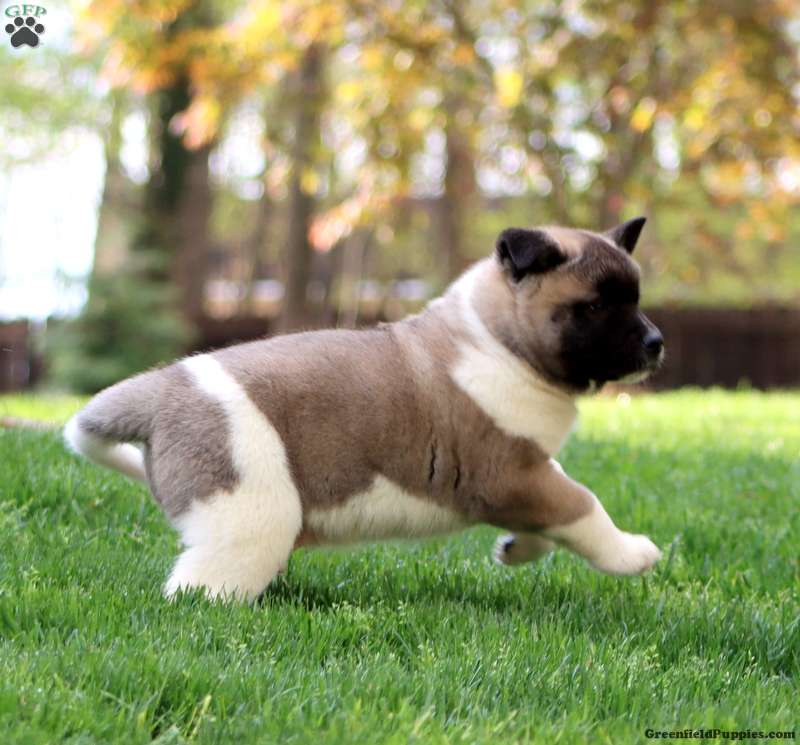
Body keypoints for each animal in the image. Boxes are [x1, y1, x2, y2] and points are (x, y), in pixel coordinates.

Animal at [65, 216, 664, 601]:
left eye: (634, 299)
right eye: (594, 307)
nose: (657, 343)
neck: (497, 339)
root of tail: (159, 391)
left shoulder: (529, 475)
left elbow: (556, 510)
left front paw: (516, 549)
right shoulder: (511, 473)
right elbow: (582, 504)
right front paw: (631, 554)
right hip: (249, 513)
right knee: (198, 591)